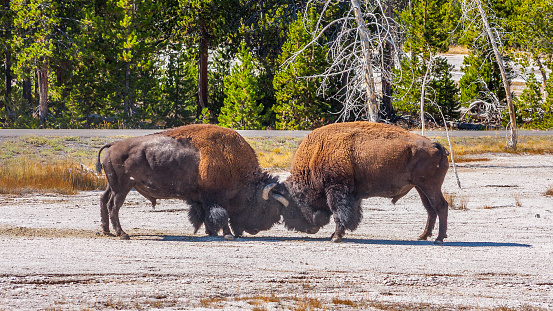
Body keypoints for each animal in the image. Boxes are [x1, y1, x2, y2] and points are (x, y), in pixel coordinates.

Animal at [94, 125, 286, 241]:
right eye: (264, 208)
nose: (256, 230)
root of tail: (113, 145)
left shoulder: (202, 198)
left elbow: (206, 215)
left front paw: (210, 232)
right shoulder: (216, 198)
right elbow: (221, 216)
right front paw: (227, 234)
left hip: (113, 186)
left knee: (103, 200)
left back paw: (106, 231)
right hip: (123, 187)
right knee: (113, 206)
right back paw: (122, 234)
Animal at [274, 122, 450, 246]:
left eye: (293, 209)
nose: (311, 229)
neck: (317, 152)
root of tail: (436, 145)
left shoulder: (337, 190)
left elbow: (339, 213)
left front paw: (336, 237)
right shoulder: (353, 195)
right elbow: (351, 214)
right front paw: (337, 234)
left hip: (430, 186)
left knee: (441, 206)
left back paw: (439, 239)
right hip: (421, 187)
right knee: (430, 209)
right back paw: (423, 236)